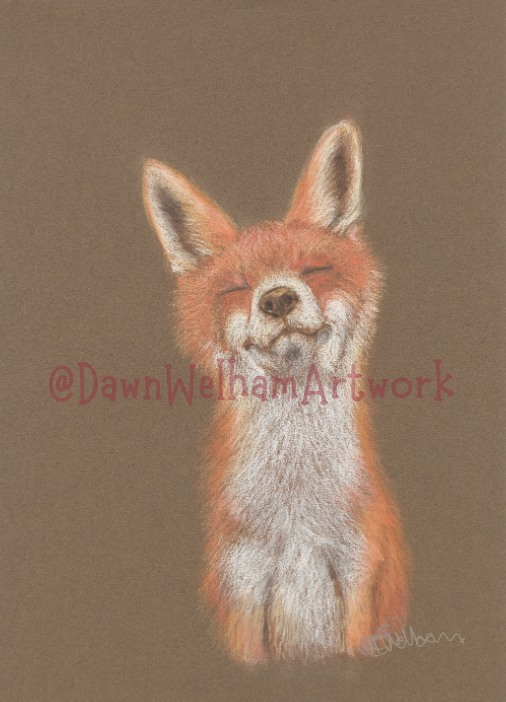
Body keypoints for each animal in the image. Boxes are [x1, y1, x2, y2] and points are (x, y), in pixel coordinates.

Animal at [142, 119, 409, 663]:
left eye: (314, 270)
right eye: (236, 287)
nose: (278, 298)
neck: (295, 517)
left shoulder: (359, 576)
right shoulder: (243, 588)